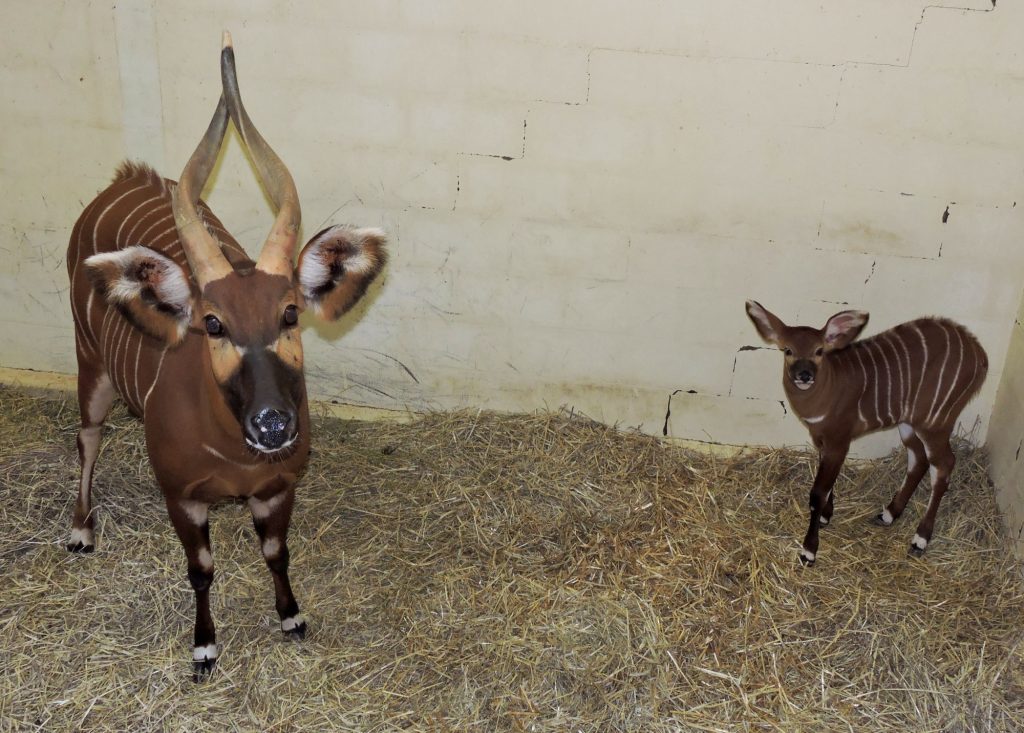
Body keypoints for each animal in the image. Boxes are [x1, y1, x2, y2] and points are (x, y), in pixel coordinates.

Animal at [67, 33, 387, 675]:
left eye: (289, 313)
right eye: (213, 323)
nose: (273, 424)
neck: (236, 454)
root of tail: (119, 180)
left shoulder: (277, 488)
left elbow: (276, 551)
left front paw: (291, 617)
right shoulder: (183, 499)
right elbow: (201, 570)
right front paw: (204, 646)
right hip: (90, 365)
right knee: (88, 435)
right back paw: (83, 529)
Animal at [749, 300, 987, 565]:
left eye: (819, 351)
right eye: (788, 350)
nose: (804, 375)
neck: (828, 388)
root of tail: (979, 354)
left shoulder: (839, 440)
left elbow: (818, 492)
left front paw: (809, 551)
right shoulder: (822, 440)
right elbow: (827, 483)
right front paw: (826, 517)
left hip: (935, 421)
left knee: (943, 464)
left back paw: (920, 539)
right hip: (909, 423)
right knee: (919, 458)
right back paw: (889, 514)